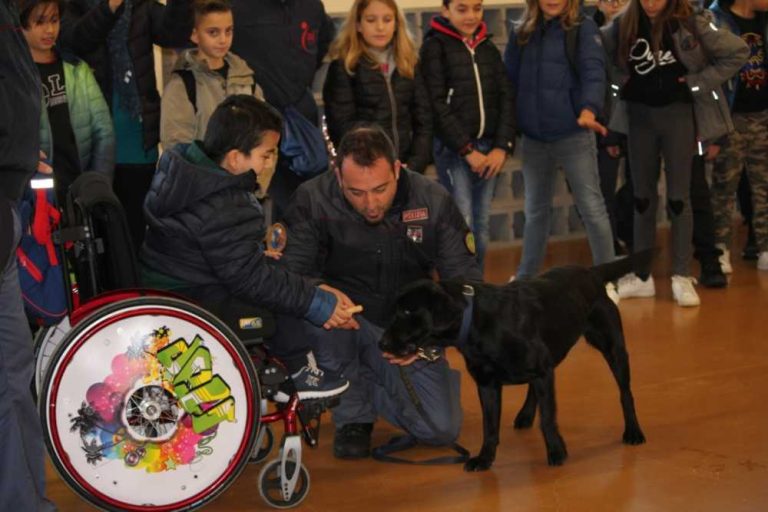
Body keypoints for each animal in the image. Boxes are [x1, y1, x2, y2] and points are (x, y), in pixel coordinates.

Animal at [380, 260, 644, 472]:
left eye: (407, 311)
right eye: (395, 310)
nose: (381, 342)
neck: (476, 323)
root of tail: (591, 271)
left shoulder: (541, 371)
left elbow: (548, 419)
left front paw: (556, 451)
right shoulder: (488, 385)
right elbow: (489, 427)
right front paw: (485, 459)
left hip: (613, 349)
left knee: (625, 393)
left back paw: (633, 431)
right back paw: (525, 415)